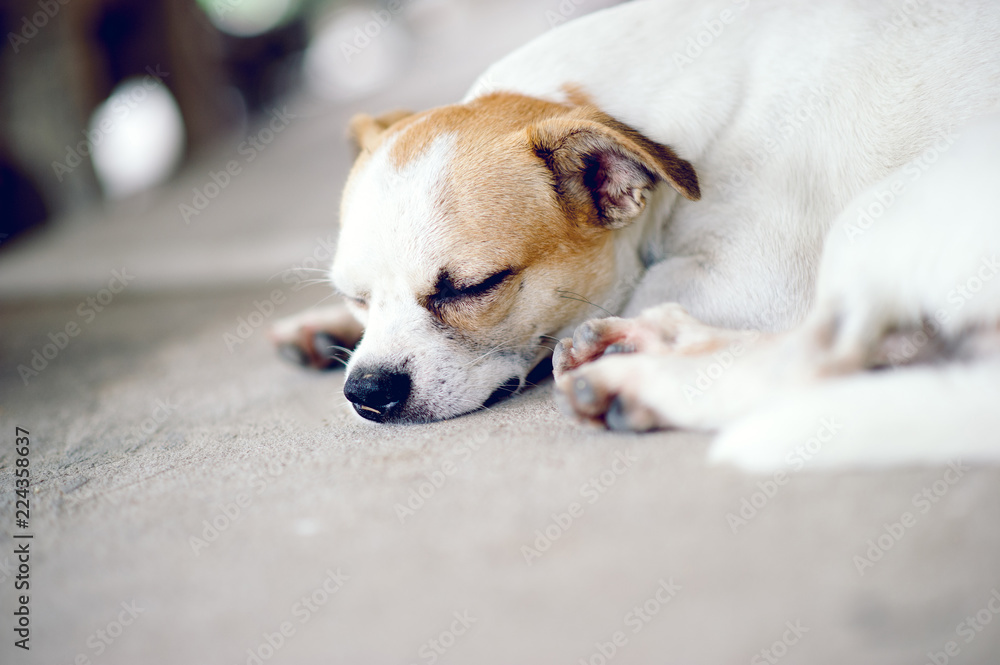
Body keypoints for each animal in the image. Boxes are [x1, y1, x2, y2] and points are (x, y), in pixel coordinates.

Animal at [270, 0, 1000, 466]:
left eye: (475, 288)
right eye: (356, 296)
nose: (366, 391)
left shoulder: (749, 279)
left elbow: (639, 286)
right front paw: (324, 328)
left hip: (882, 210)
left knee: (819, 357)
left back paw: (645, 370)